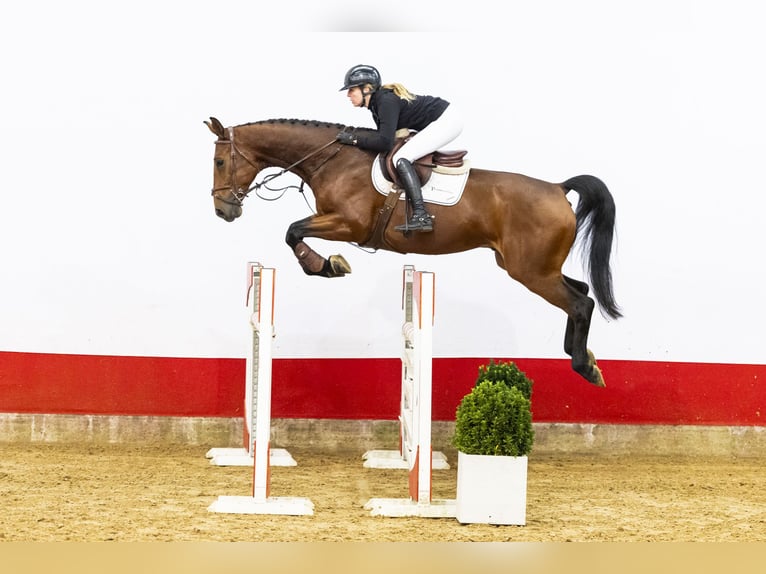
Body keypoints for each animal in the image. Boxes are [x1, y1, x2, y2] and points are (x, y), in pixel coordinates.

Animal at [205, 116, 621, 387]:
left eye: (220, 161)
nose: (223, 211)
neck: (334, 162)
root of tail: (557, 188)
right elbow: (294, 231)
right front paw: (327, 264)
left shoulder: (348, 224)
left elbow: (293, 231)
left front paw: (325, 265)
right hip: (530, 266)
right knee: (581, 291)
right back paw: (582, 355)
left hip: (531, 271)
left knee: (580, 302)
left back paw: (584, 366)